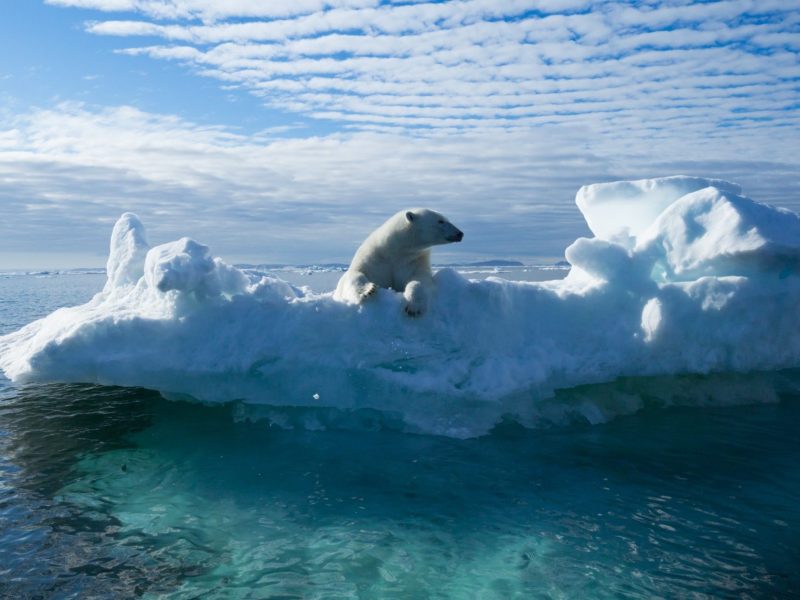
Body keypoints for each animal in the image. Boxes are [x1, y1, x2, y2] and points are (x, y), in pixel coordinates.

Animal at [334, 208, 464, 316]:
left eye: (446, 219)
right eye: (440, 221)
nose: (460, 233)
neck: (395, 251)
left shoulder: (414, 261)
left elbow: (420, 279)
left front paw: (413, 307)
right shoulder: (374, 259)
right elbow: (355, 274)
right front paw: (367, 291)